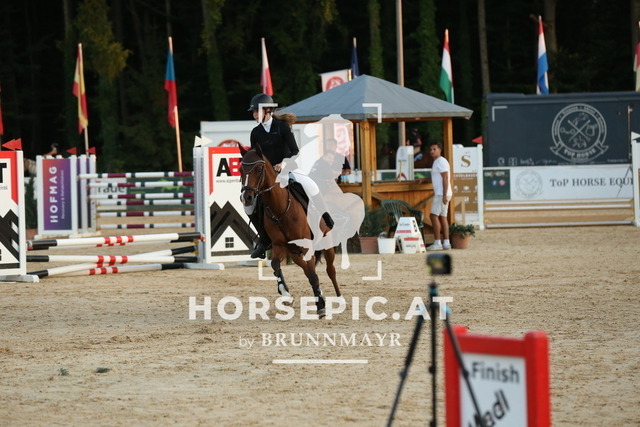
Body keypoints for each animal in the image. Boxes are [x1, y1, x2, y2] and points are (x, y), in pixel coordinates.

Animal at [239, 144, 341, 318]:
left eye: (258, 169)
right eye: (241, 169)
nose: (247, 198)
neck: (279, 209)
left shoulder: (306, 246)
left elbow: (314, 275)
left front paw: (320, 306)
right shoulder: (279, 245)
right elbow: (275, 265)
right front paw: (286, 295)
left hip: (326, 244)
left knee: (330, 270)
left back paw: (339, 299)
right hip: (294, 252)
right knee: (307, 269)